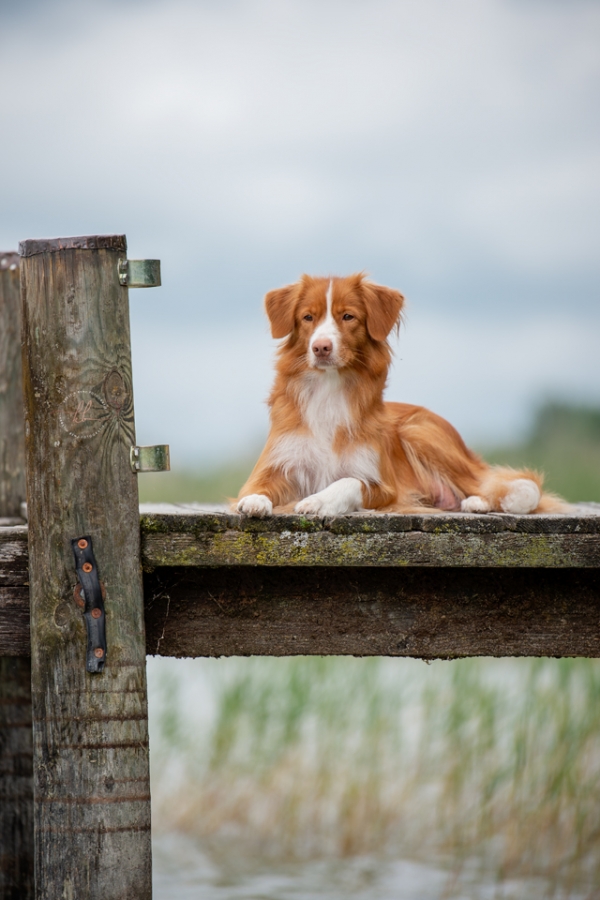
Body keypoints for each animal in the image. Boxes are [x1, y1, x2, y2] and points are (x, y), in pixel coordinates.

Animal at [236, 270, 564, 516]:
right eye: (308, 318)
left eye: (348, 317)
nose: (321, 347)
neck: (329, 389)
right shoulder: (274, 466)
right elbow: (254, 490)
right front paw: (255, 502)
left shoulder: (385, 487)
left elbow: (348, 482)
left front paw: (318, 500)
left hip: (419, 431)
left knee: (505, 485)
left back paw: (485, 502)